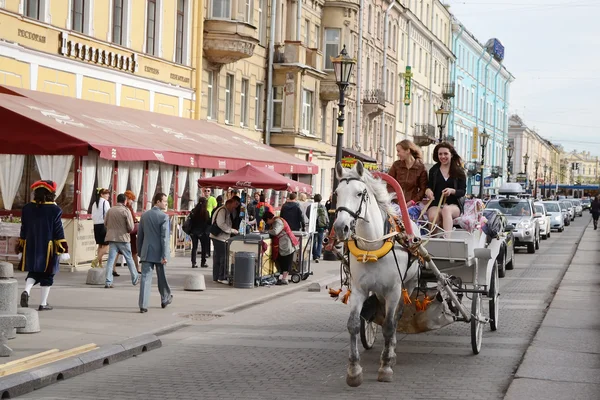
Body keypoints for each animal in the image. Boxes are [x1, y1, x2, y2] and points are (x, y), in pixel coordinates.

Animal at [330, 161, 420, 386]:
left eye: (359, 193)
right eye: (337, 193)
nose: (341, 227)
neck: (372, 247)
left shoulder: (394, 290)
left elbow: (389, 325)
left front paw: (385, 366)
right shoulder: (359, 290)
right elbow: (353, 324)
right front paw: (354, 370)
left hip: (408, 286)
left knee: (396, 317)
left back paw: (392, 351)